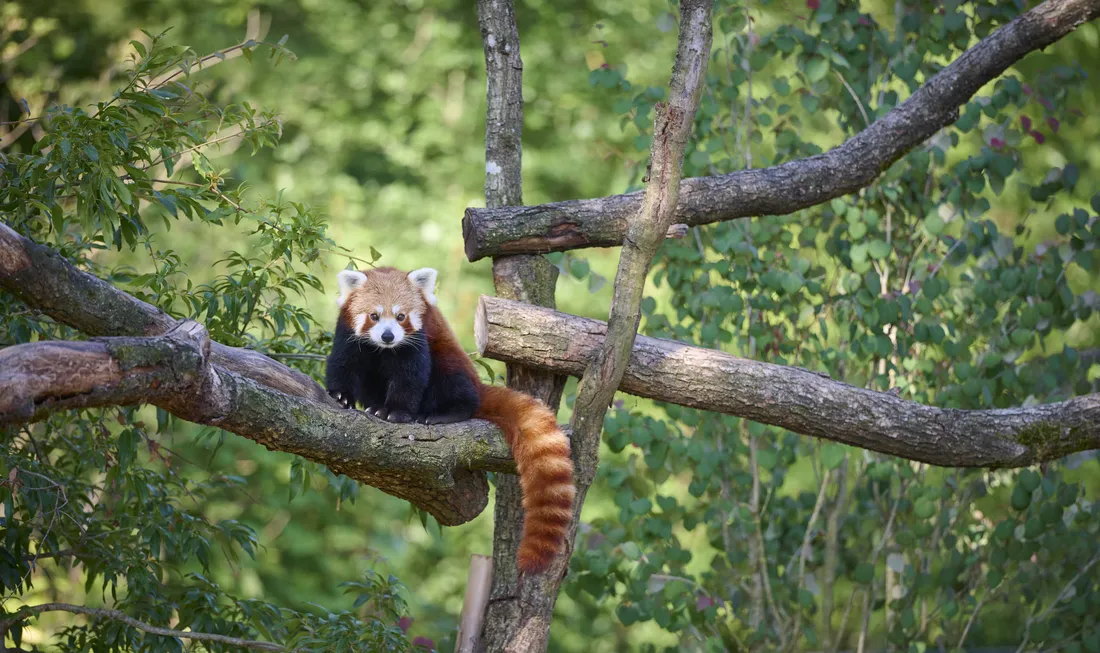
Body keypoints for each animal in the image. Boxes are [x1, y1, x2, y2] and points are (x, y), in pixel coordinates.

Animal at [323, 263, 576, 571]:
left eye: (400, 316)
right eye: (374, 316)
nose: (388, 336)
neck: (383, 350)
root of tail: (478, 385)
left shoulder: (416, 342)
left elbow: (409, 378)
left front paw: (395, 412)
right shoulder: (348, 334)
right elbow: (344, 363)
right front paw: (341, 396)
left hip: (450, 363)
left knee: (456, 387)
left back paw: (443, 414)